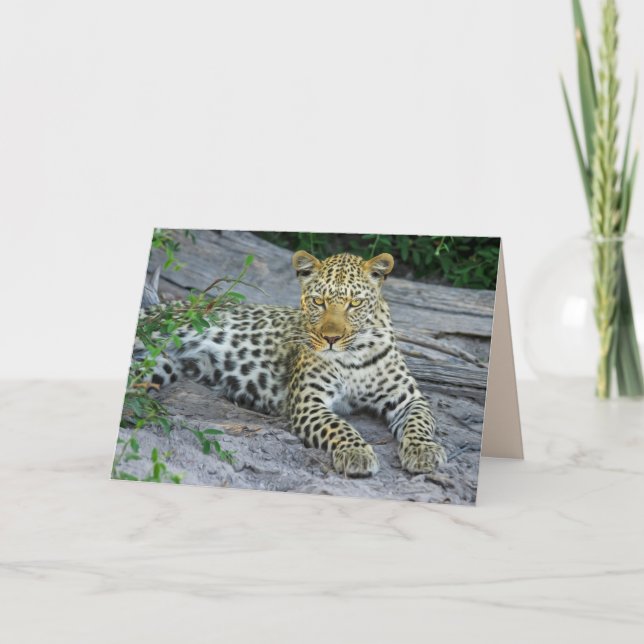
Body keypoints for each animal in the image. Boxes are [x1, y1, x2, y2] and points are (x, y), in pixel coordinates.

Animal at [144, 250, 446, 477]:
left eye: (355, 303)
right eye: (318, 301)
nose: (331, 339)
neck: (355, 354)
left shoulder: (408, 398)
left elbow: (420, 422)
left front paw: (424, 451)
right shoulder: (308, 403)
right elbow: (340, 426)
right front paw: (356, 452)